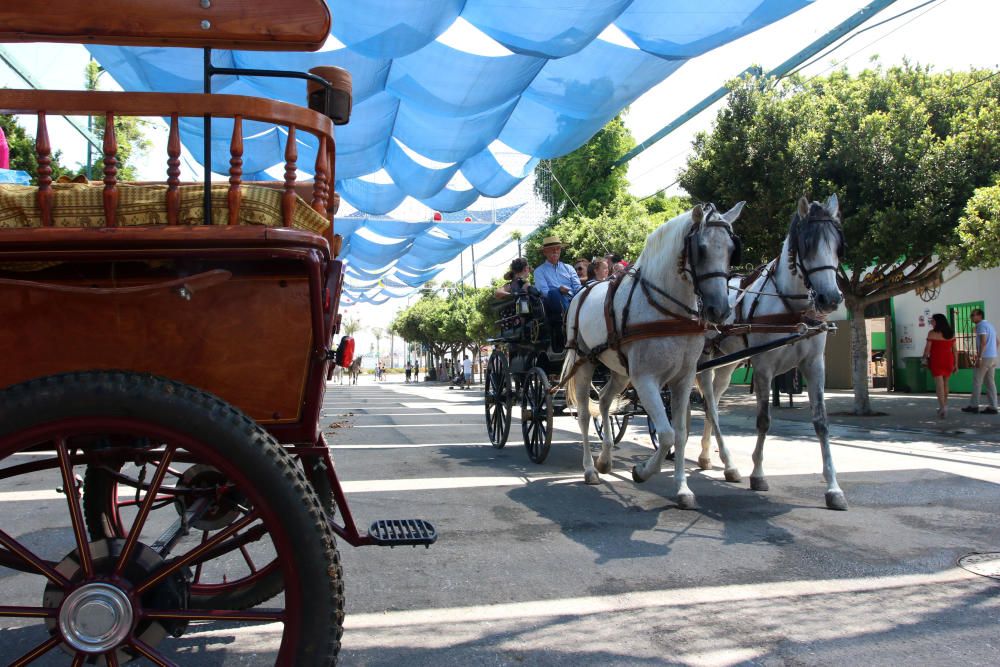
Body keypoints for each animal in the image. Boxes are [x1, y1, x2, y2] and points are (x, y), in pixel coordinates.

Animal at [564, 201, 744, 508]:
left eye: (732, 249)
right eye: (701, 249)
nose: (720, 310)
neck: (667, 310)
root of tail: (581, 292)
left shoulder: (683, 379)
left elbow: (680, 434)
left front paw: (682, 488)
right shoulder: (646, 380)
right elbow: (667, 434)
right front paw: (642, 471)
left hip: (619, 371)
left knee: (604, 401)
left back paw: (605, 460)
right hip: (585, 363)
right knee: (585, 415)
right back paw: (589, 469)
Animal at [696, 196, 852, 508]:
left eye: (838, 245)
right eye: (807, 245)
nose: (831, 298)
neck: (792, 310)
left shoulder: (815, 365)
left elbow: (821, 423)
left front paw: (833, 488)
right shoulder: (764, 367)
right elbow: (764, 420)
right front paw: (757, 474)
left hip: (726, 365)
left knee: (711, 403)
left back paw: (710, 457)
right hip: (702, 359)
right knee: (709, 404)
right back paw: (725, 461)